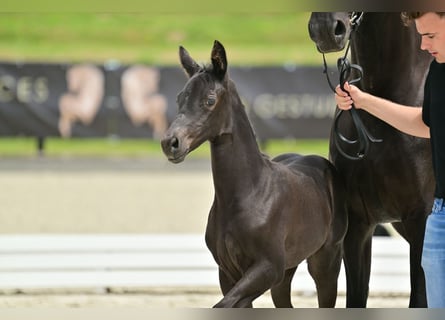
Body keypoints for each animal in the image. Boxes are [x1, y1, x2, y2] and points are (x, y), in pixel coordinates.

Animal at [160, 40, 346, 308]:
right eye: (179, 98)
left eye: (209, 99)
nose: (170, 143)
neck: (249, 193)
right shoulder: (229, 273)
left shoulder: (268, 268)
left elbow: (223, 304)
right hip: (287, 271)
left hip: (325, 261)